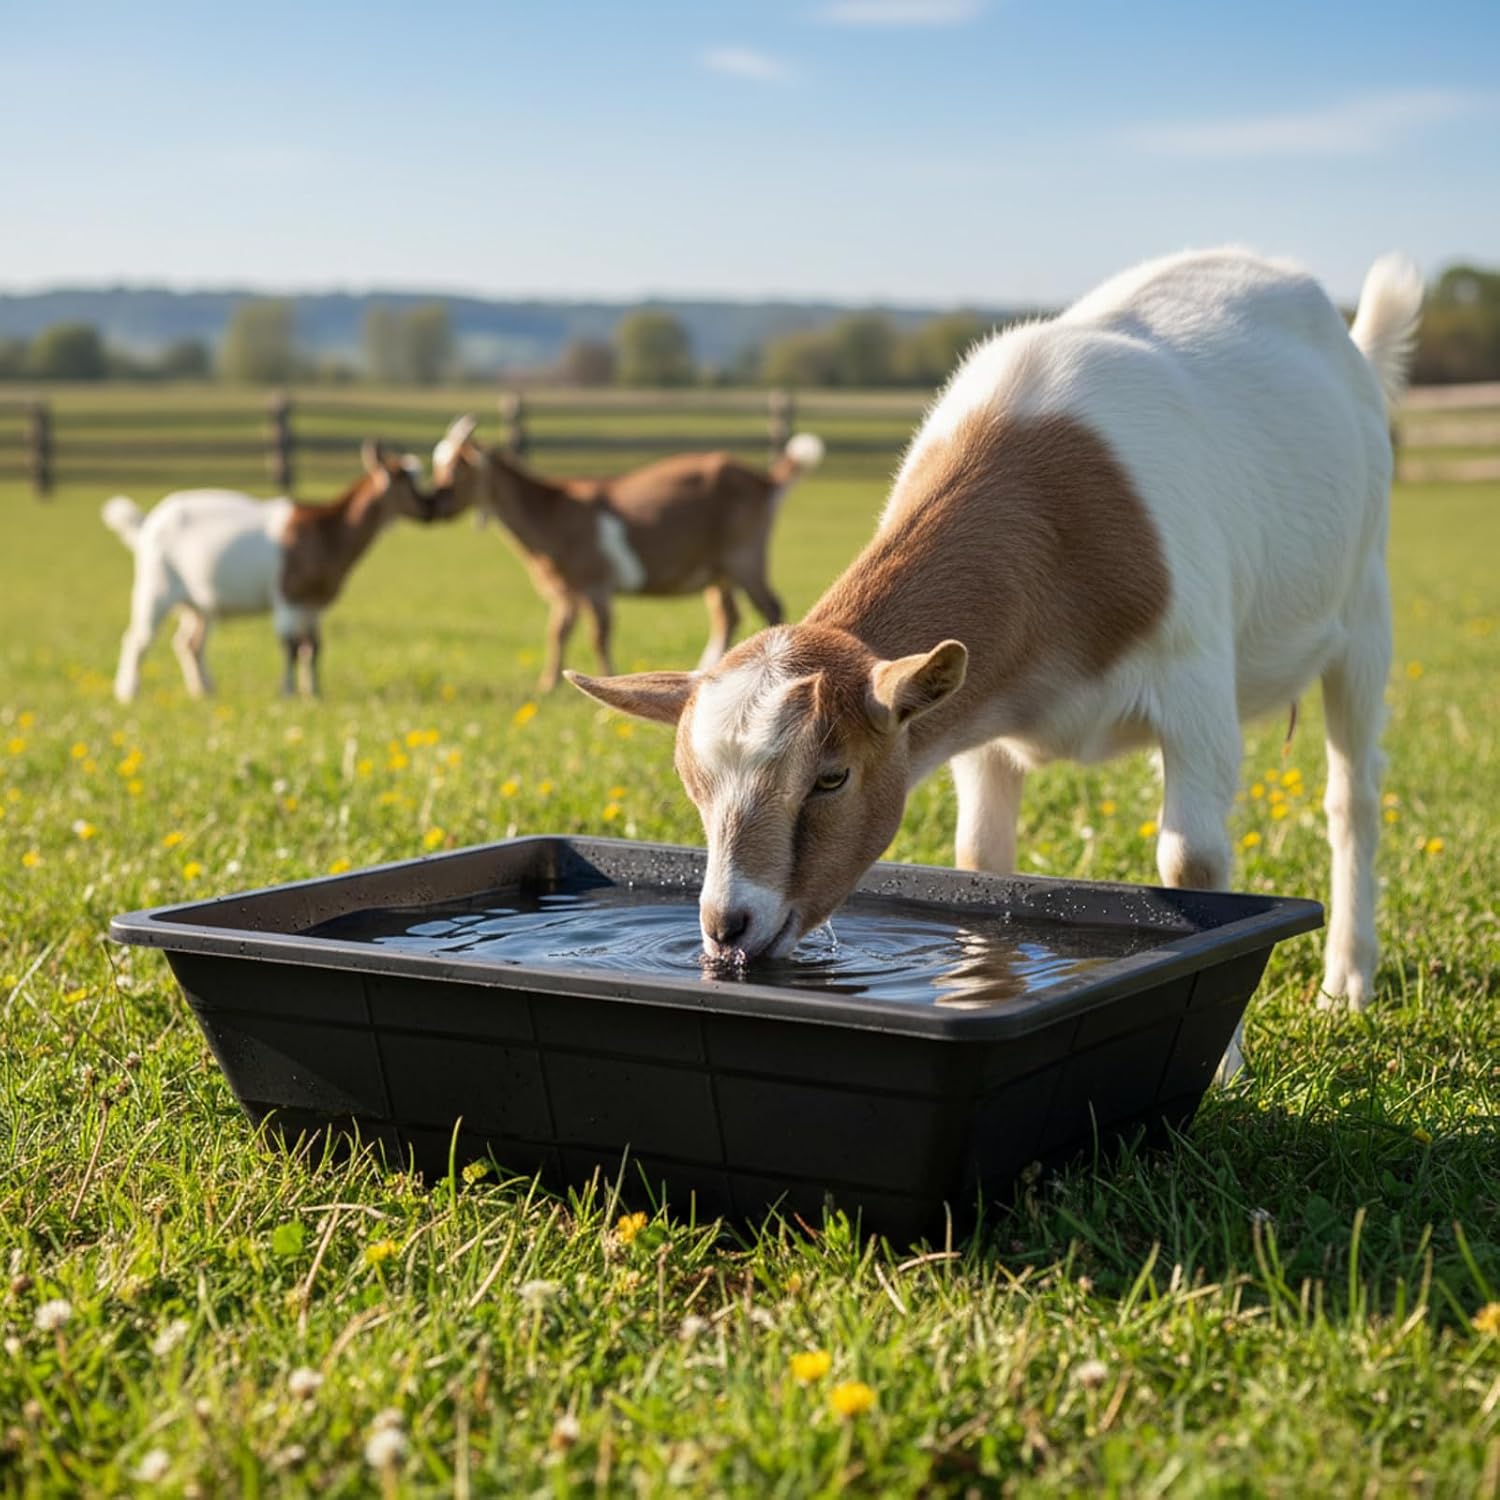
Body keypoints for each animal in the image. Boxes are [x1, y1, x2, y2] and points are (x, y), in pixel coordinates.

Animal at [103, 442, 429, 701]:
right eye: (406, 479)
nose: (431, 505)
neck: (327, 531)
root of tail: (147, 524)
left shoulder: (314, 603)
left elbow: (313, 647)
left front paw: (313, 692)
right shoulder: (287, 596)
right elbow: (291, 646)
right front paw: (288, 693)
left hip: (199, 604)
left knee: (189, 643)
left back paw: (204, 690)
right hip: (155, 587)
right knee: (137, 639)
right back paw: (128, 692)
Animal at [427, 417, 824, 690]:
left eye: (458, 468)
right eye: (437, 465)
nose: (435, 503)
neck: (555, 512)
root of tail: (764, 482)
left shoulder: (596, 584)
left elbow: (598, 635)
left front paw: (605, 678)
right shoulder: (567, 591)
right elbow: (558, 632)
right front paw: (548, 684)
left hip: (745, 556)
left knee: (769, 607)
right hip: (718, 571)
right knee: (727, 616)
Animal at [568, 248, 1423, 1077]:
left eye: (830, 777)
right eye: (693, 782)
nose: (727, 927)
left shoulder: (1194, 689)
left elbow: (1195, 864)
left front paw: (1223, 1065)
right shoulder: (974, 719)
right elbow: (982, 862)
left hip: (1367, 610)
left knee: (1354, 795)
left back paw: (1348, 981)